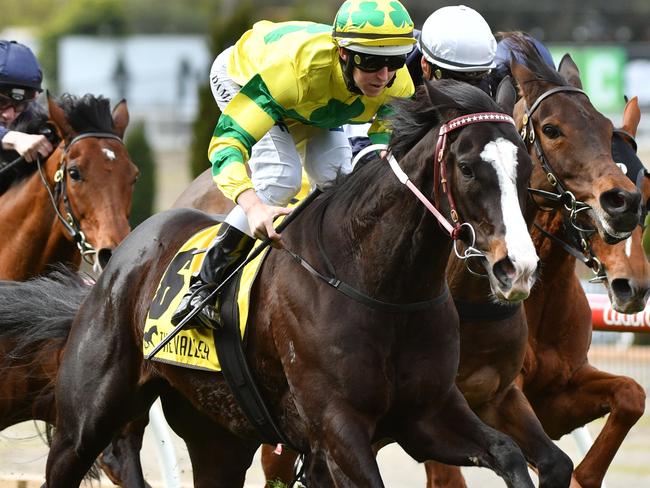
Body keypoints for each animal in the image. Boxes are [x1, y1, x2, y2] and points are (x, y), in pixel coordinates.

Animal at [36, 78, 540, 486]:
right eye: (468, 168)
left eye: (527, 168)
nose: (517, 267)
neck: (382, 288)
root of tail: (121, 255)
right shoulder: (338, 428)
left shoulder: (428, 415)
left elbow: (510, 454)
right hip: (86, 420)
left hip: (217, 434)